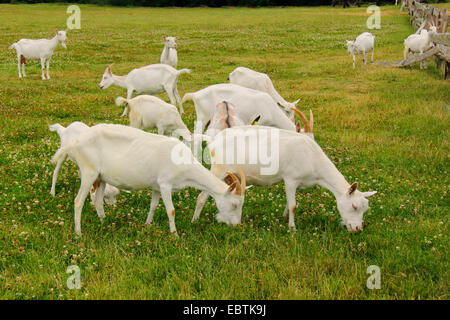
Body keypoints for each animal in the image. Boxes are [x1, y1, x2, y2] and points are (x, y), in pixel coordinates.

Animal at [51, 124, 248, 236]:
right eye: (234, 204)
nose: (237, 225)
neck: (184, 164)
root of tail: (74, 142)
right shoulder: (166, 184)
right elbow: (171, 210)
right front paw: (175, 234)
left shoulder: (156, 186)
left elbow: (153, 205)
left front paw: (147, 225)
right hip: (88, 172)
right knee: (78, 201)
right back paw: (78, 233)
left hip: (101, 177)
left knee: (98, 201)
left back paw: (104, 223)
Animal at [193, 126, 376, 234]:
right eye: (354, 206)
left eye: (365, 209)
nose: (358, 229)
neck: (313, 159)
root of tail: (213, 140)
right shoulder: (291, 179)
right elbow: (294, 205)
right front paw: (292, 228)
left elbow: (289, 203)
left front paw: (284, 217)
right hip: (218, 169)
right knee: (202, 197)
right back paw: (195, 221)